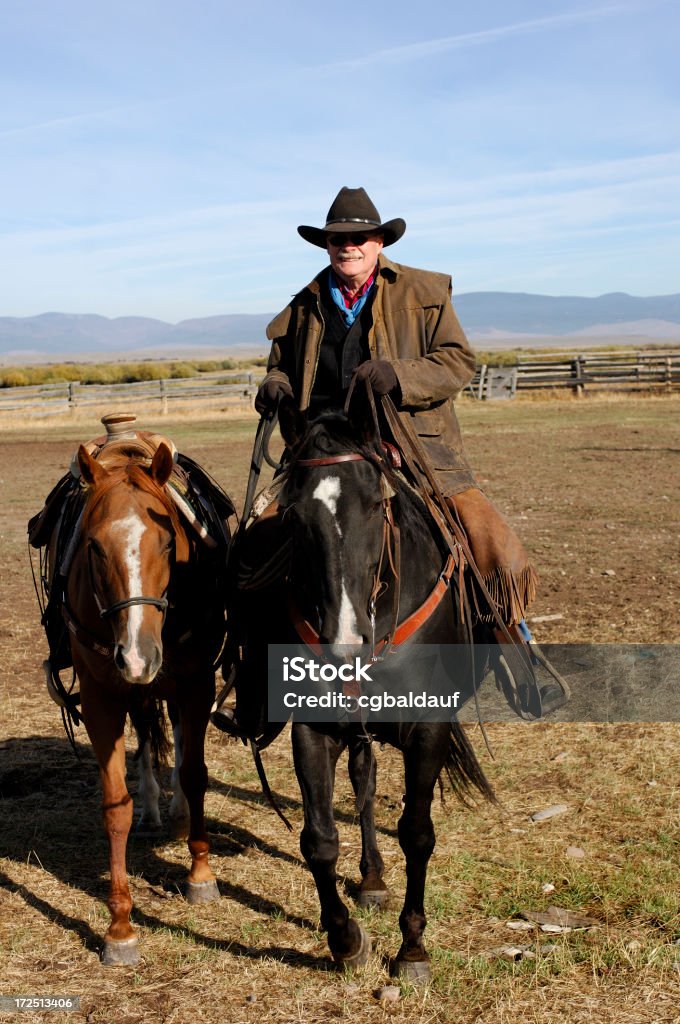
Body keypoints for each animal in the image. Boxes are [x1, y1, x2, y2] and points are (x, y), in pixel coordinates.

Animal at [60, 444, 228, 962]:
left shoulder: (197, 686)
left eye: (169, 543)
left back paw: (175, 816)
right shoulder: (102, 698)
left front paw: (201, 875)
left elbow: (195, 775)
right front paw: (119, 926)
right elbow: (116, 806)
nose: (137, 655)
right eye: (93, 546)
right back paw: (156, 809)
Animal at [238, 395, 493, 978]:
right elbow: (318, 839)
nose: (344, 643)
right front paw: (345, 939)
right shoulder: (312, 728)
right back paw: (372, 878)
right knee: (364, 782)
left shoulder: (428, 729)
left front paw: (412, 948)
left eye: (377, 504)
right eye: (293, 515)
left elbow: (418, 833)